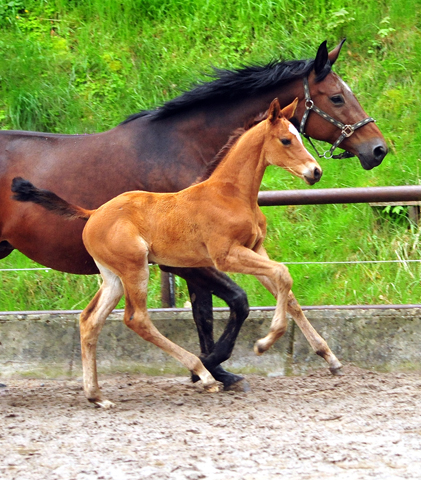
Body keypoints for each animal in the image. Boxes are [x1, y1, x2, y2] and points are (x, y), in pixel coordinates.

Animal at [12, 99, 342, 406]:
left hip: (113, 277)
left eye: (299, 136)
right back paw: (204, 373)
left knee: (90, 320)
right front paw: (263, 343)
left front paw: (329, 356)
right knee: (137, 319)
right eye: (286, 140)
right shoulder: (225, 255)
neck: (231, 194)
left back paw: (96, 395)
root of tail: (92, 214)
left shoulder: (254, 248)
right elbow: (282, 274)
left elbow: (289, 293)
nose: (315, 171)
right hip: (135, 268)